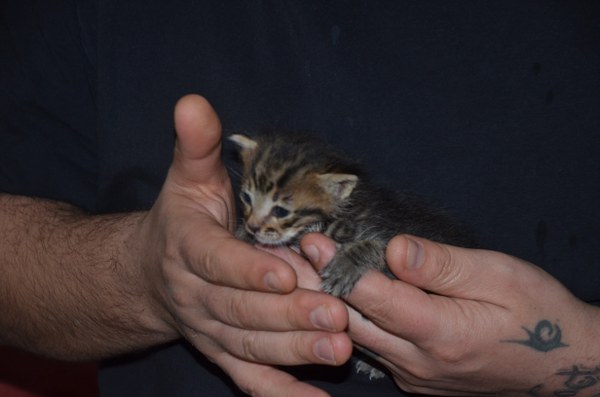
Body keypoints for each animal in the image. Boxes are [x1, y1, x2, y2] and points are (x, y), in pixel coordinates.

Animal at [230, 132, 478, 296]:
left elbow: (380, 247)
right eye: (246, 198)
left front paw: (346, 266)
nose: (252, 227)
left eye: (281, 211)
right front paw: (243, 233)